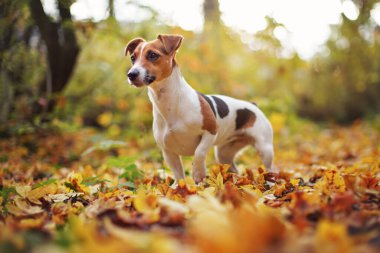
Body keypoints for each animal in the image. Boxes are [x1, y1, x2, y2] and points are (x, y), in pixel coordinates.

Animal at [124, 34, 274, 184]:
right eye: (133, 58)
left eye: (153, 55)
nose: (131, 74)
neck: (171, 104)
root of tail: (253, 105)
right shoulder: (168, 151)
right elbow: (178, 174)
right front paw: (179, 187)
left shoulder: (211, 131)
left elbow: (199, 152)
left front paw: (198, 173)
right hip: (224, 153)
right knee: (233, 169)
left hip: (265, 148)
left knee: (271, 169)